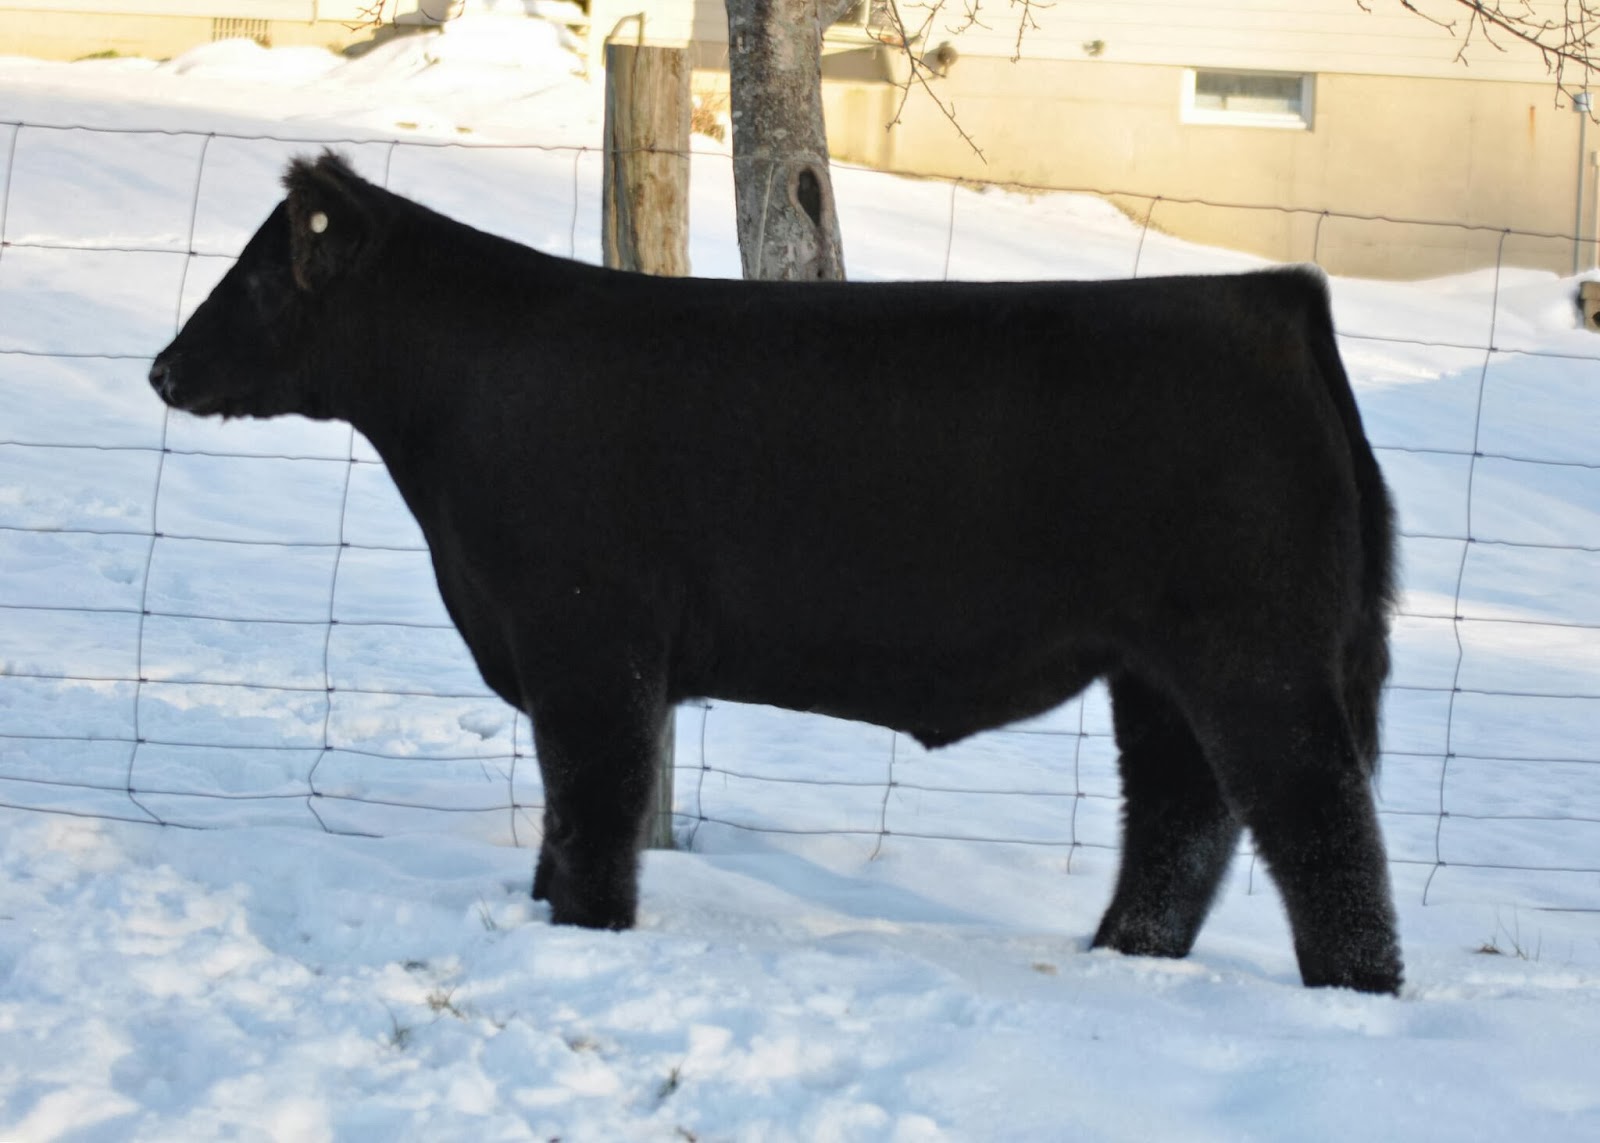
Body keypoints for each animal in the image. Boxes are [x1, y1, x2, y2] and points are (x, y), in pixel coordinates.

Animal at [150, 152, 1403, 993]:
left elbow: (591, 804)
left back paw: (1355, 989)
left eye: (259, 279)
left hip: (1255, 653)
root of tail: (1274, 294)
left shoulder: (585, 641)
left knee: (1318, 821)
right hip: (1156, 667)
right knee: (1182, 813)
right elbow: (568, 812)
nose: (162, 369)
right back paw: (1122, 955)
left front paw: (583, 932)